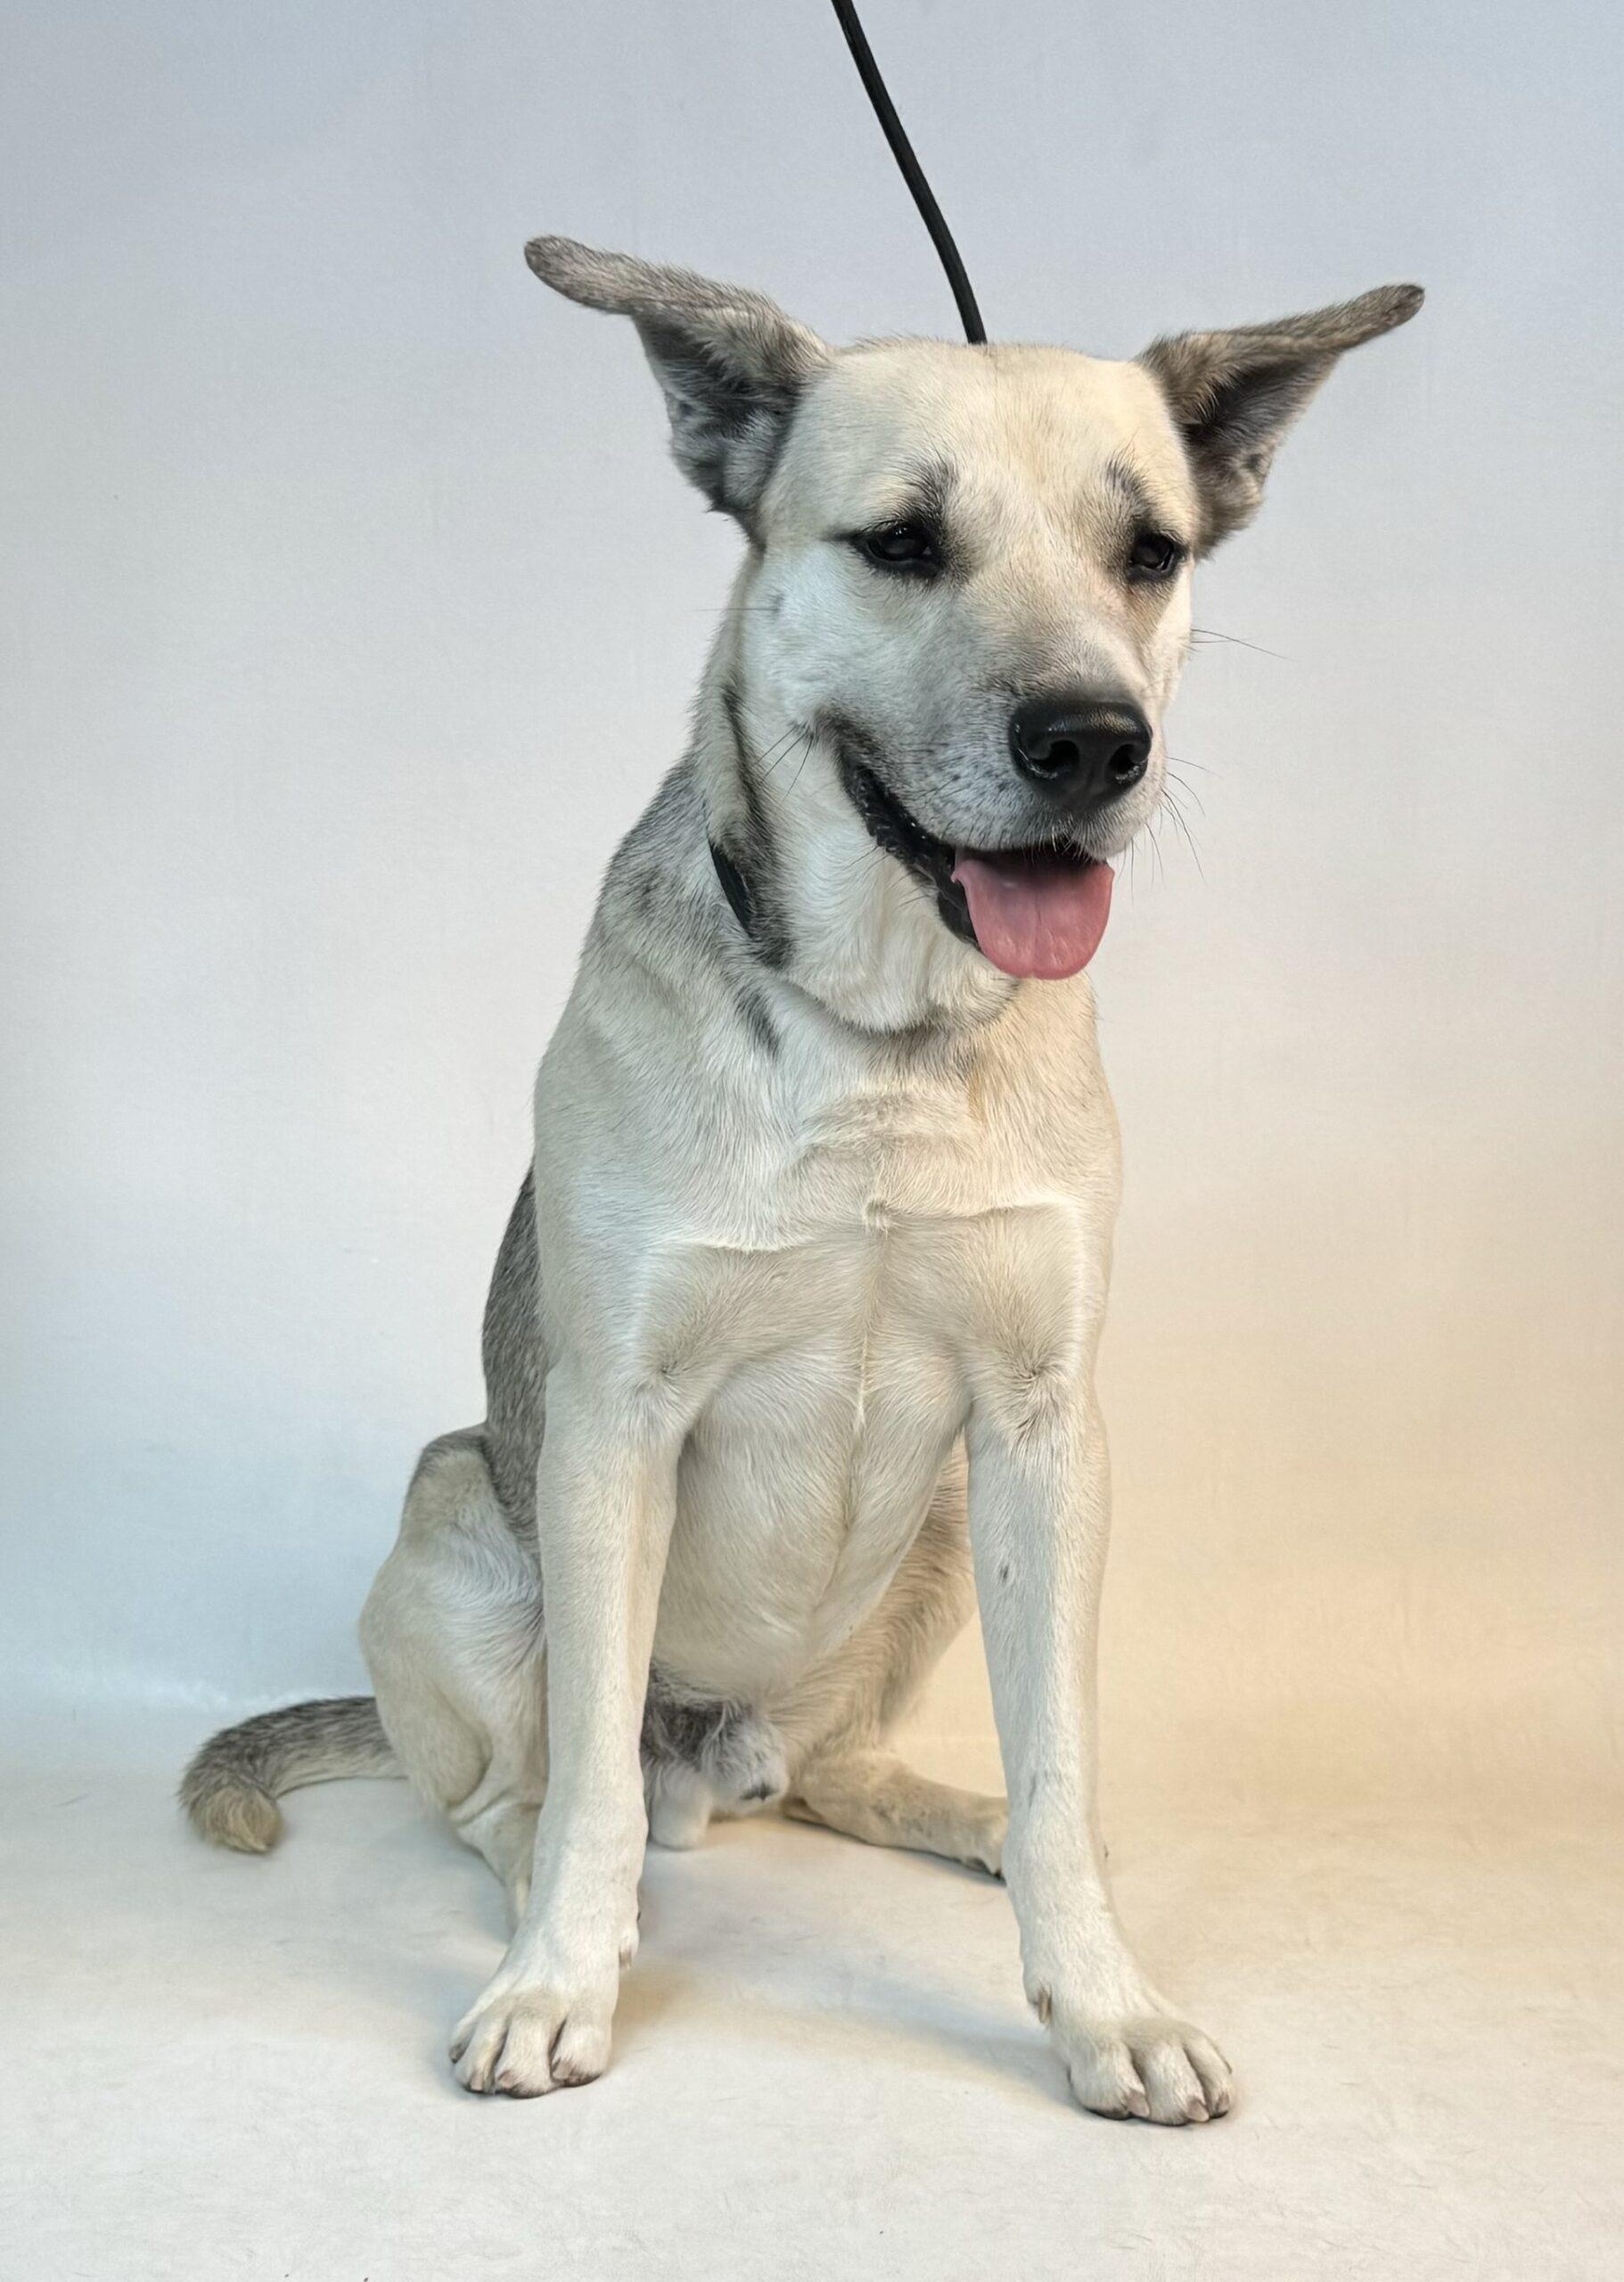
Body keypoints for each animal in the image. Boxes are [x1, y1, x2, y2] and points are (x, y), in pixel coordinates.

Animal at [181, 231, 1423, 2117]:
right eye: (902, 542)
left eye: (1149, 551)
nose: (1091, 743)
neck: (878, 1036)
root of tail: (723, 1754)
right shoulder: (616, 1421)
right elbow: (582, 1793)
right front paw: (561, 1981)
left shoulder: (1045, 1433)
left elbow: (1061, 1760)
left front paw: (1099, 1996)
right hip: (464, 1515)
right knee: (521, 1793)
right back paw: (563, 1895)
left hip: (942, 1542)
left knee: (839, 1779)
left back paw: (955, 1819)